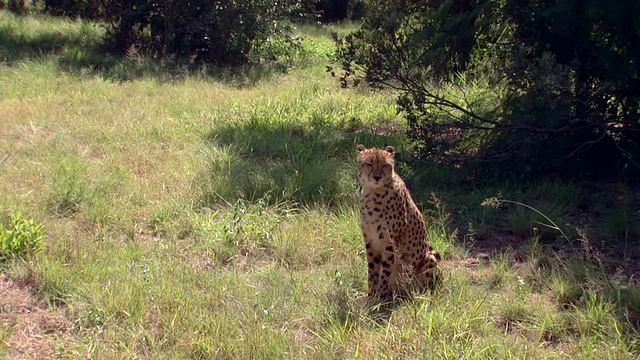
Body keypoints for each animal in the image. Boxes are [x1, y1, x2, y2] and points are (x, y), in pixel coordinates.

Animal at [356, 144, 440, 300]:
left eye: (385, 165)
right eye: (369, 164)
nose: (377, 177)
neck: (373, 192)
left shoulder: (390, 242)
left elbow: (385, 272)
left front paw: (380, 299)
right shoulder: (370, 240)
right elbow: (373, 272)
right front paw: (371, 297)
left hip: (429, 258)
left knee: (426, 290)